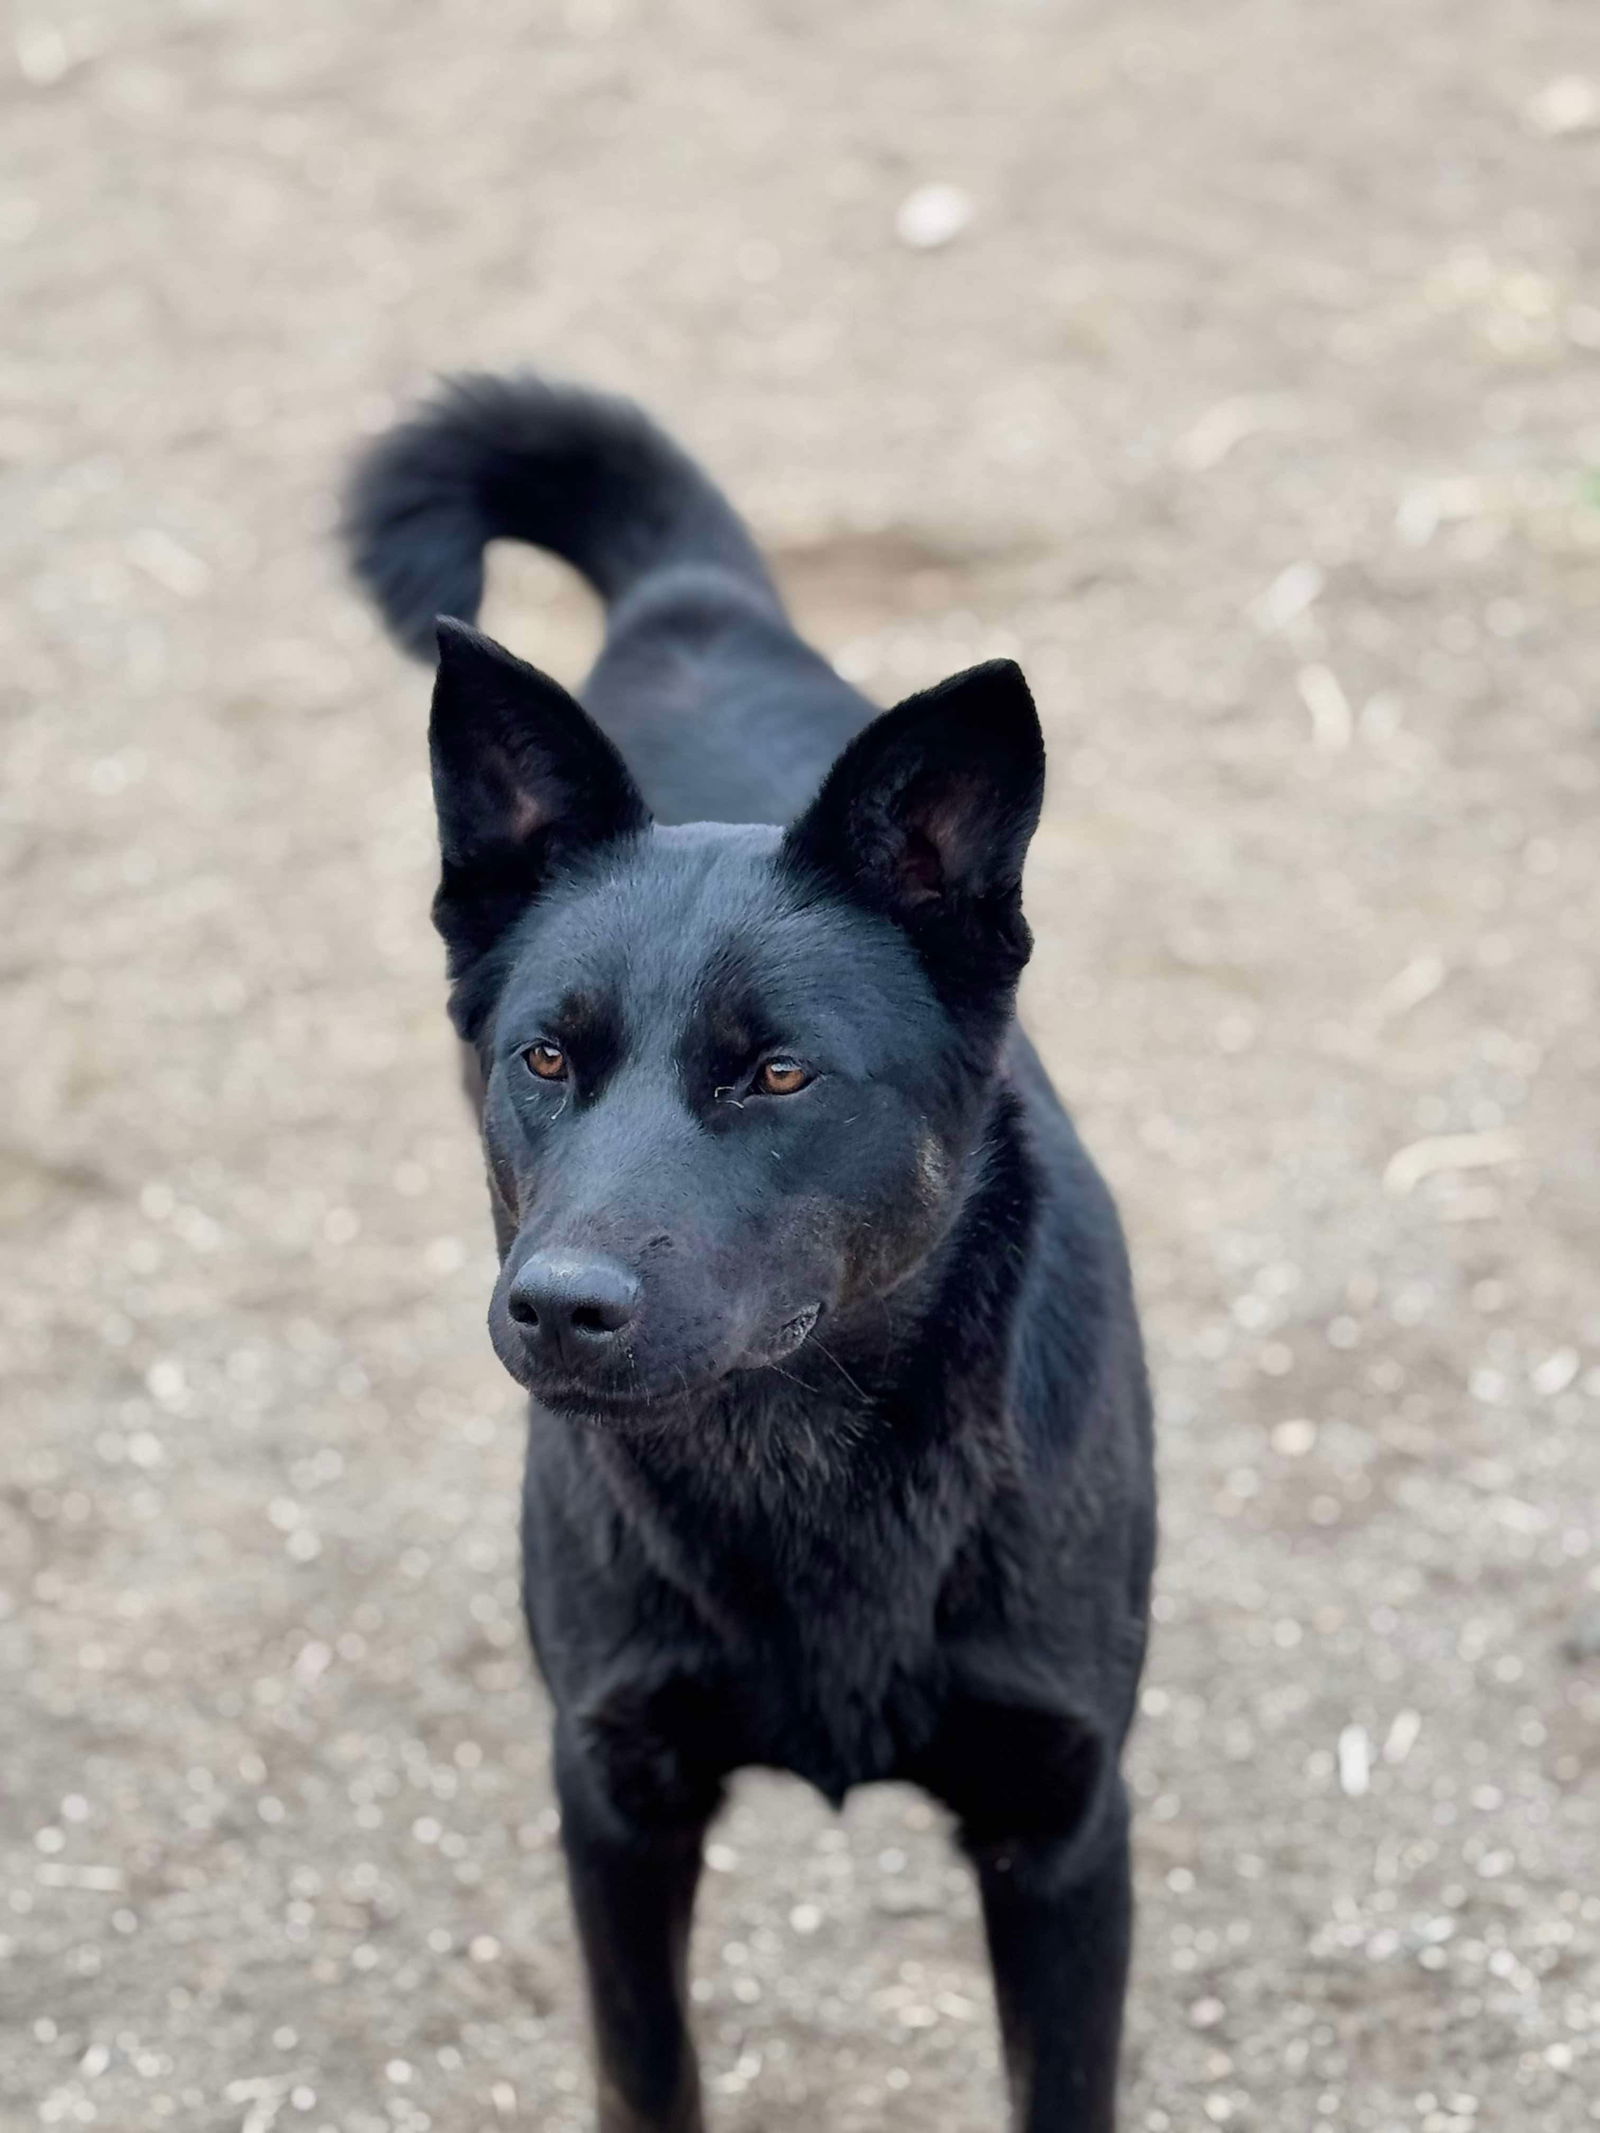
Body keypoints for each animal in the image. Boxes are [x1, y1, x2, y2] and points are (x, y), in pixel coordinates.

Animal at [347, 383, 1152, 2133]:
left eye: (778, 1074)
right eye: (546, 1058)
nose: (559, 1309)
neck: (799, 1462)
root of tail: (690, 604)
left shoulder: (1063, 1823)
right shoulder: (615, 1798)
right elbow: (649, 2073)